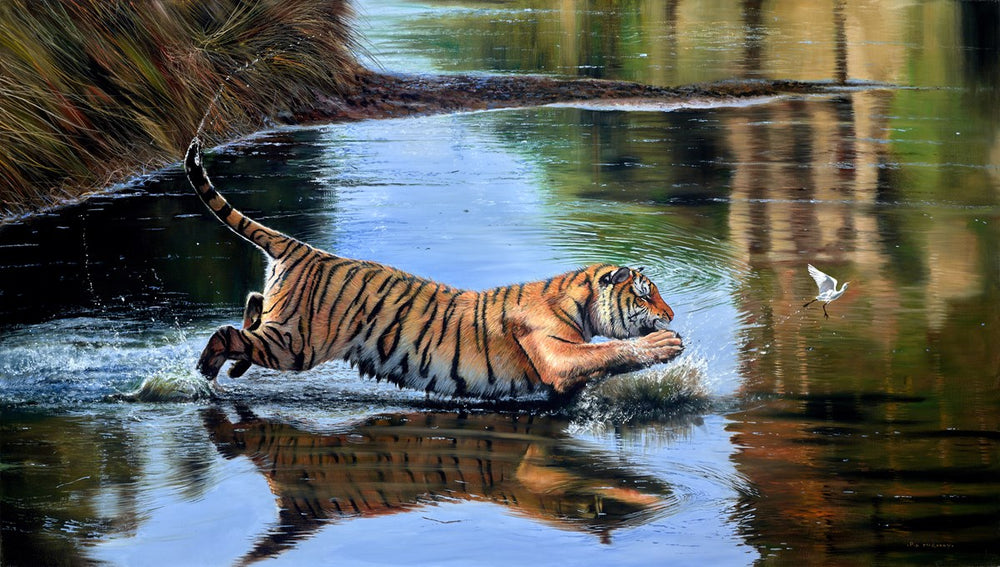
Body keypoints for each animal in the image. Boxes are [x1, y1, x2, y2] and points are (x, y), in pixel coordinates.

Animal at [184, 137, 683, 400]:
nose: (673, 315)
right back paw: (208, 370)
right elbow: (609, 351)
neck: (580, 301)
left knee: (252, 307)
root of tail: (305, 249)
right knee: (228, 332)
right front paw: (664, 344)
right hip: (298, 343)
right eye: (645, 293)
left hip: (284, 328)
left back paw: (234, 368)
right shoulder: (555, 353)